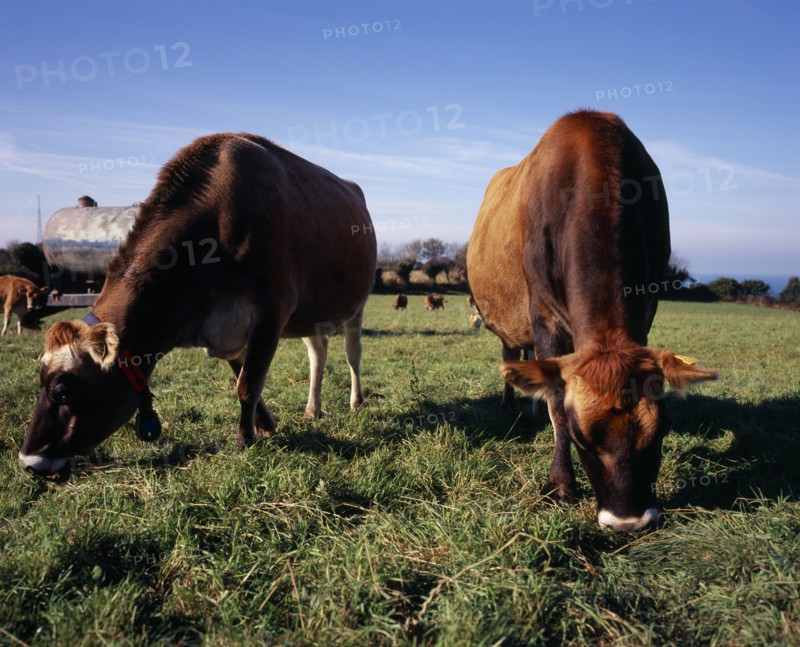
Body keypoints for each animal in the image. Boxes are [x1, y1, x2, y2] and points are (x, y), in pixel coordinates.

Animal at [19, 132, 377, 478]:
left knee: (352, 354)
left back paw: (356, 400)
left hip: (357, 305)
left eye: (63, 391)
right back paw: (312, 409)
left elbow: (248, 386)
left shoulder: (271, 314)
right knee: (318, 356)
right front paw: (265, 428)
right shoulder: (229, 330)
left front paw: (244, 441)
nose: (28, 461)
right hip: (309, 317)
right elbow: (245, 380)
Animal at [467, 110, 717, 532]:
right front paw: (560, 483)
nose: (629, 521)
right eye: (581, 437)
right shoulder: (543, 315)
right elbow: (555, 400)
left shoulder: (647, 307)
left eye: (660, 432)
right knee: (513, 353)